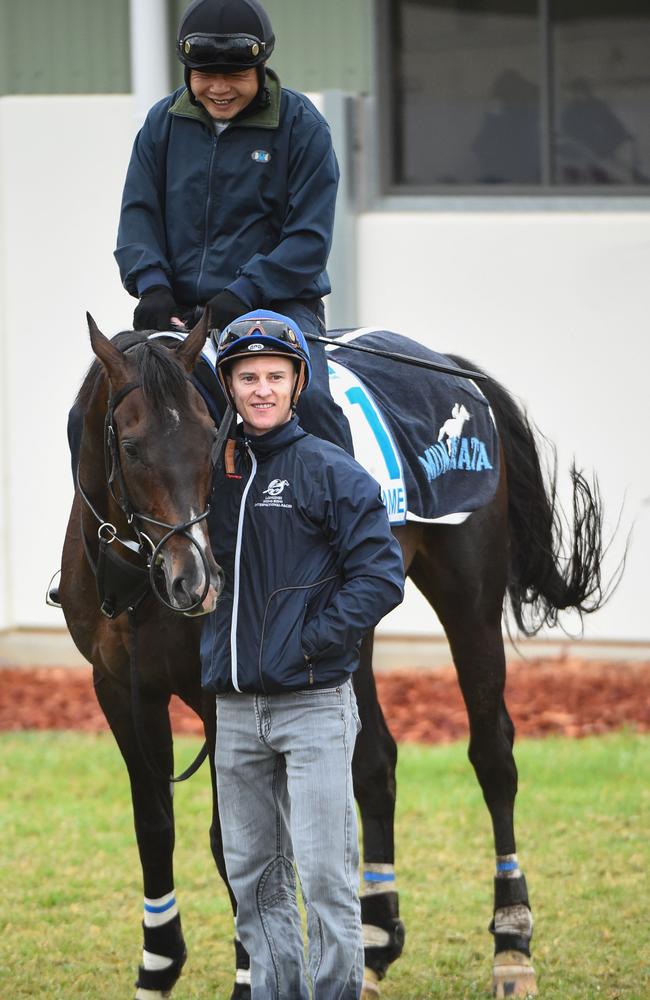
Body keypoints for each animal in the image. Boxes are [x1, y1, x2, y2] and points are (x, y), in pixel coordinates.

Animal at [58, 312, 604, 1000]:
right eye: (131, 449)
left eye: (212, 441)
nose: (194, 581)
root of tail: (450, 368)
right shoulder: (119, 691)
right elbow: (154, 826)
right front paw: (159, 964)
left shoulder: (220, 697)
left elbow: (232, 839)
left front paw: (249, 972)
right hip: (350, 637)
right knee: (375, 763)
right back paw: (373, 943)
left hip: (470, 603)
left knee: (493, 755)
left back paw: (511, 943)